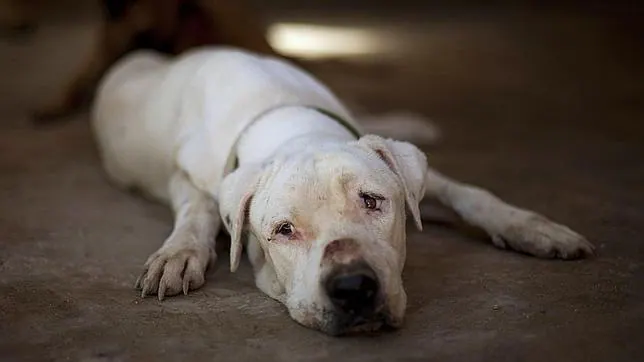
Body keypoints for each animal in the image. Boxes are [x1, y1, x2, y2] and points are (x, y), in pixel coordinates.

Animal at [90, 46, 592, 336]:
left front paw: (534, 228)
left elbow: (471, 194)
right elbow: (199, 208)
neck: (288, 120)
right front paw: (179, 255)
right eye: (283, 230)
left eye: (372, 201)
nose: (353, 287)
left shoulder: (411, 175)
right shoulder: (186, 175)